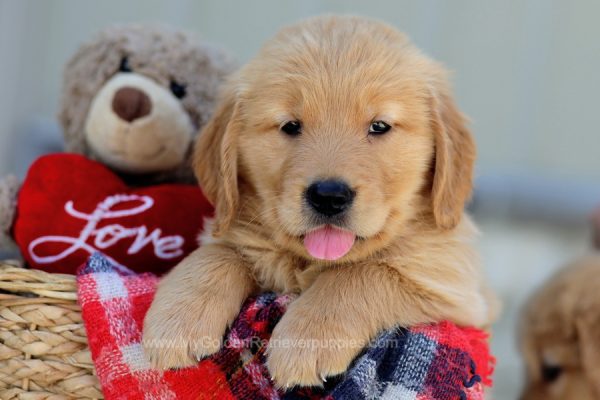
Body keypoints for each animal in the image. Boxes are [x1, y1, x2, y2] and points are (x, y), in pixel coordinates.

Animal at [142, 15, 496, 388]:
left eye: (379, 126)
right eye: (290, 126)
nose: (329, 196)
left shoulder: (453, 285)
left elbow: (360, 273)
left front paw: (307, 339)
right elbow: (218, 252)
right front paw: (177, 319)